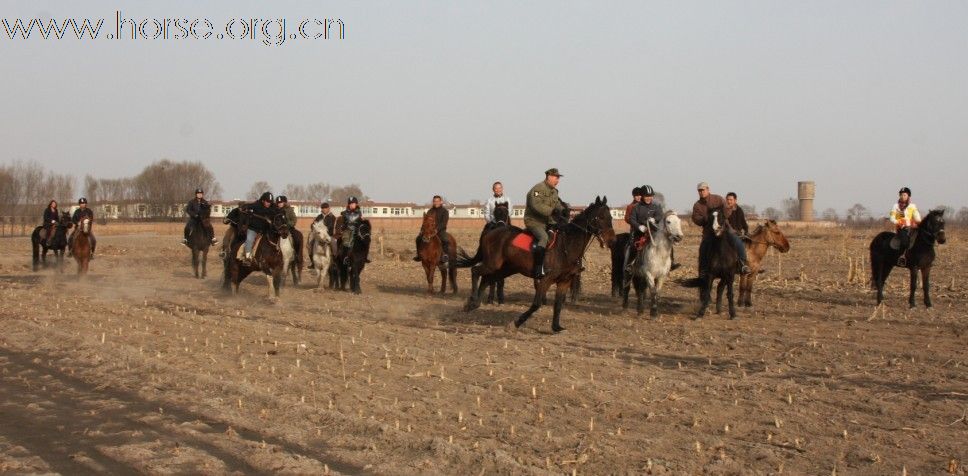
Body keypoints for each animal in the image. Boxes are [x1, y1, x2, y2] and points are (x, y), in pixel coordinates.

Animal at [460, 195, 612, 332]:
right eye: (600, 217)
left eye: (610, 217)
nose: (610, 240)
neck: (567, 245)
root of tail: (492, 232)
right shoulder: (546, 279)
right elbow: (536, 304)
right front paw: (517, 323)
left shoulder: (564, 281)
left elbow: (558, 304)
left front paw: (556, 327)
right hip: (493, 264)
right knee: (475, 271)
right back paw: (472, 300)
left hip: (506, 269)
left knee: (487, 279)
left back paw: (474, 304)